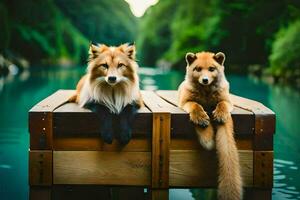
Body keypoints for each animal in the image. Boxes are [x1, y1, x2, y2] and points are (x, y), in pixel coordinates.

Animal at [178, 52, 241, 200]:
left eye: (212, 69)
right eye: (198, 69)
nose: (205, 80)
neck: (206, 94)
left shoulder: (227, 101)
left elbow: (222, 104)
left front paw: (220, 114)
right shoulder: (186, 101)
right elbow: (195, 106)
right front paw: (202, 120)